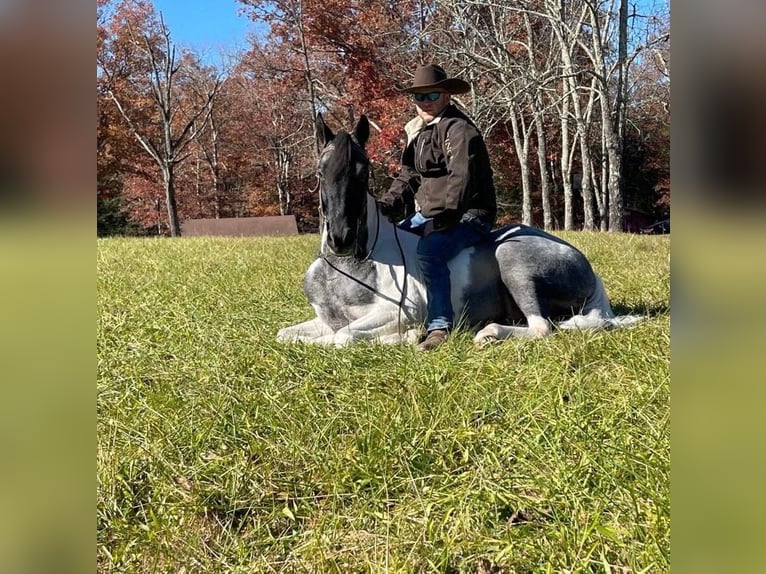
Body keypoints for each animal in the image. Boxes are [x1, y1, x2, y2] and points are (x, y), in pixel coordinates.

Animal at [276, 112, 640, 346]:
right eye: (320, 171)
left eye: (363, 172)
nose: (341, 239)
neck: (349, 268)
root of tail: (587, 269)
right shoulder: (324, 320)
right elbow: (288, 336)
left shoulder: (397, 311)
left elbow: (344, 336)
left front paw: (408, 337)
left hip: (512, 257)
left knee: (541, 328)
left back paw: (489, 334)